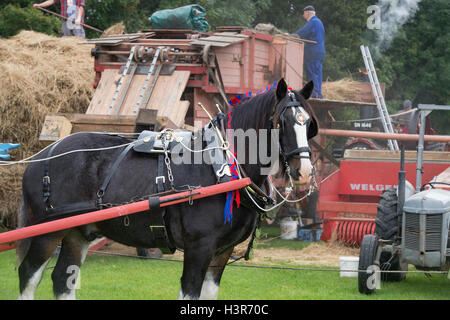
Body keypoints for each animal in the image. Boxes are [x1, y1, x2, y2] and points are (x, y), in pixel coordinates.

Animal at [16, 79, 316, 298]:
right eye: (282, 122)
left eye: (309, 125)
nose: (304, 171)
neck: (222, 166)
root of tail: (40, 157)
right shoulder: (198, 248)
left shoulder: (222, 251)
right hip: (47, 231)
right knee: (28, 274)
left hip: (78, 232)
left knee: (63, 278)